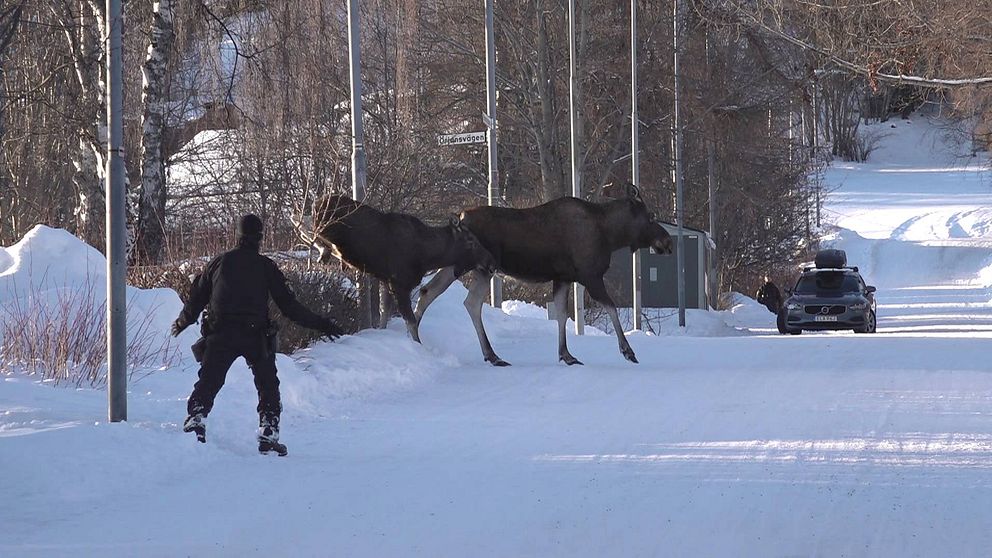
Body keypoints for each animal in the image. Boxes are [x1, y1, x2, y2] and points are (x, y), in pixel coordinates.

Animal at [308, 197, 494, 346]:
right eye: (471, 241)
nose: (490, 262)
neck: (427, 257)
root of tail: (317, 202)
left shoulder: (386, 281)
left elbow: (384, 314)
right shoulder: (399, 284)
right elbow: (411, 323)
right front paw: (419, 347)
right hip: (324, 228)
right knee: (309, 232)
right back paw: (323, 252)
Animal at [410, 184, 676, 368]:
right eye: (651, 216)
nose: (667, 241)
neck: (611, 236)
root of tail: (460, 216)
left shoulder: (563, 278)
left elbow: (561, 314)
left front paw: (566, 355)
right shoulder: (590, 276)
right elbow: (610, 308)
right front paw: (627, 351)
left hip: (463, 266)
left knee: (428, 292)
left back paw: (418, 340)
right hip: (480, 267)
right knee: (470, 302)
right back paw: (492, 355)